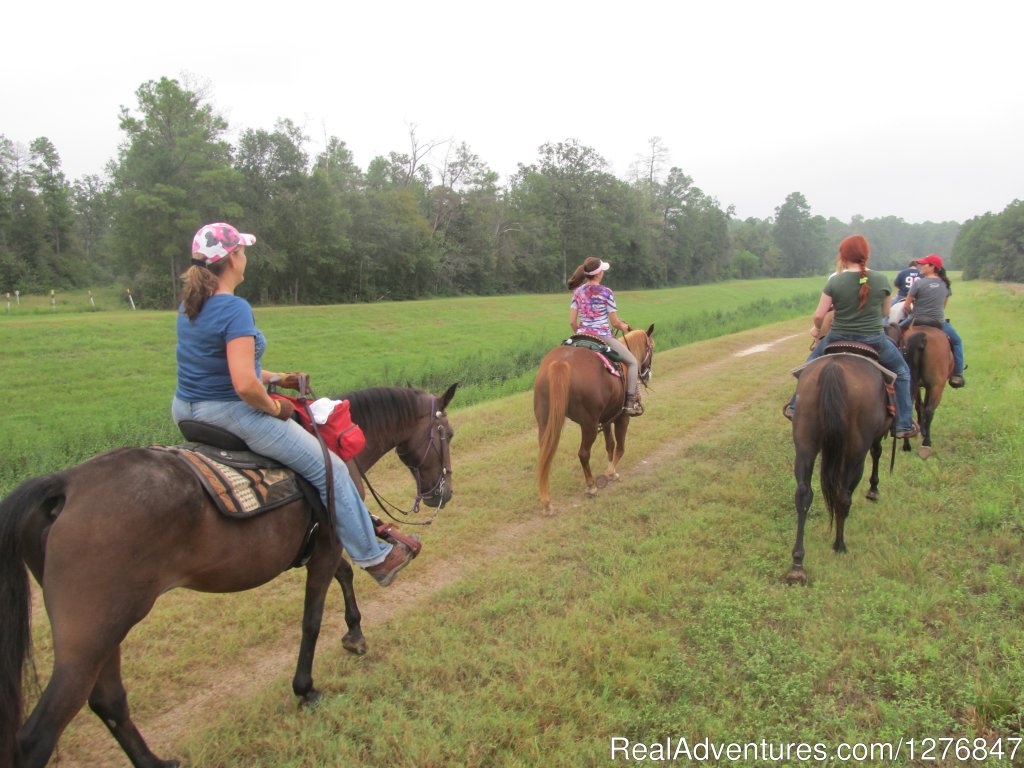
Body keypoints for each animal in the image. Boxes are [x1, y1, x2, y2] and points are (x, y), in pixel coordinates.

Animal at [0, 382, 456, 768]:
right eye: (447, 433)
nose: (445, 494)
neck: (335, 444)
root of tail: (63, 485)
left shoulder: (327, 544)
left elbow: (344, 578)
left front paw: (355, 634)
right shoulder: (330, 541)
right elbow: (312, 617)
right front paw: (305, 688)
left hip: (106, 632)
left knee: (109, 701)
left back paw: (155, 762)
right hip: (92, 634)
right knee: (39, 736)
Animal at [532, 321, 651, 514]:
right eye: (651, 347)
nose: (647, 374)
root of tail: (561, 363)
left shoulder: (607, 417)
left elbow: (610, 445)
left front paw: (611, 470)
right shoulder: (621, 417)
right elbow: (620, 447)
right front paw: (611, 473)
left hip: (544, 420)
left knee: (545, 454)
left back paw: (546, 501)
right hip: (589, 424)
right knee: (583, 453)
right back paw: (591, 486)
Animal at [786, 352, 892, 585]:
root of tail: (833, 369)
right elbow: (877, 452)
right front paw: (874, 489)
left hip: (805, 441)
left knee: (803, 494)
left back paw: (797, 565)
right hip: (856, 452)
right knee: (844, 496)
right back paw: (840, 545)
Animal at [901, 323, 954, 456]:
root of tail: (922, 336)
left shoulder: (918, 386)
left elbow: (919, 405)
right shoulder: (931, 386)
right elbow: (925, 407)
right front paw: (923, 431)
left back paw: (906, 444)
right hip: (937, 386)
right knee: (930, 410)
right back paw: (926, 443)